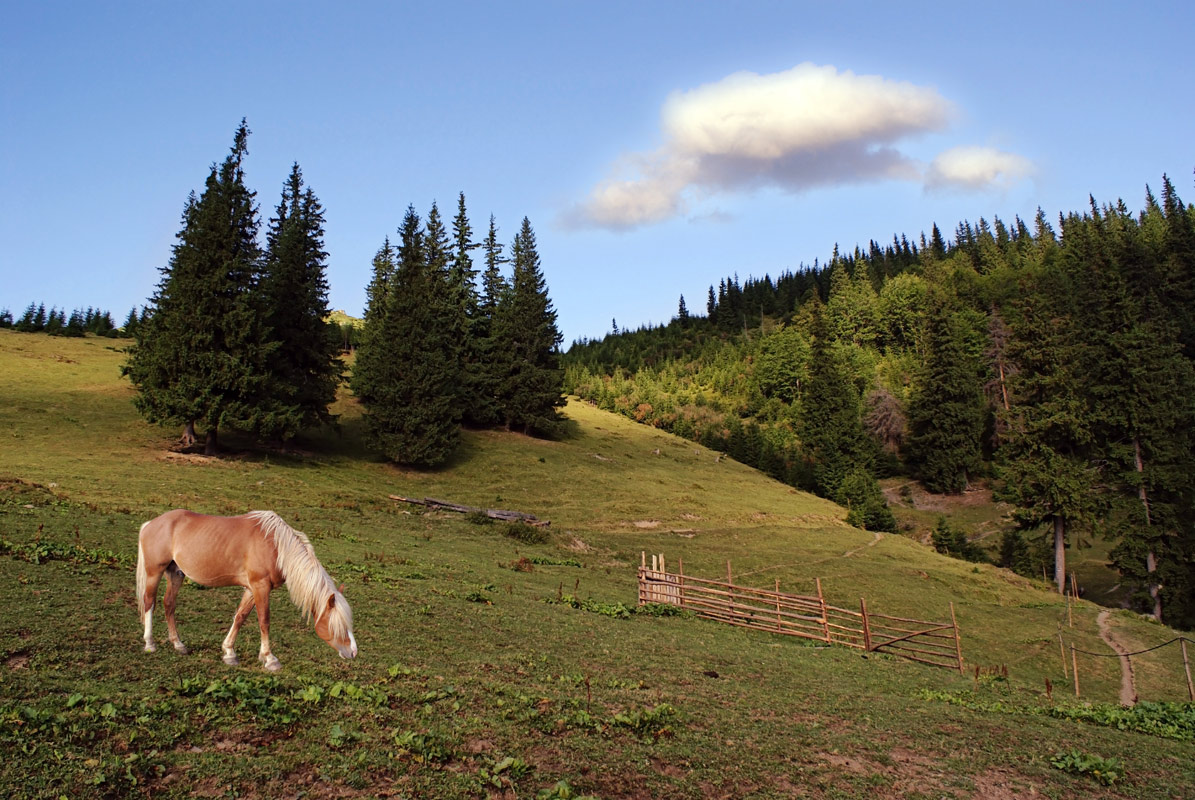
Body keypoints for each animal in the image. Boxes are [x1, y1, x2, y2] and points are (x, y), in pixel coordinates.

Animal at [136, 509, 356, 669]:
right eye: (339, 625)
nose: (353, 652)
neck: (276, 546)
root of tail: (151, 524)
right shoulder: (260, 586)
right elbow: (264, 620)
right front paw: (270, 659)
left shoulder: (252, 589)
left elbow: (240, 617)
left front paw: (229, 653)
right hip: (155, 572)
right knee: (150, 602)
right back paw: (149, 643)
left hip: (175, 574)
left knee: (169, 604)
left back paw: (178, 644)